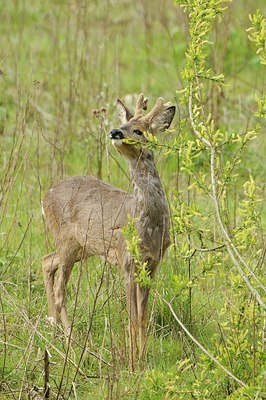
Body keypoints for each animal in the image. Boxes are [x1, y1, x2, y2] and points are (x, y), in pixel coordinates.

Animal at [42, 94, 175, 368]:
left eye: (139, 130)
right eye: (122, 124)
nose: (115, 132)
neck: (149, 223)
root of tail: (45, 196)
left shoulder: (152, 263)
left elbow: (143, 316)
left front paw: (143, 359)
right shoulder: (127, 260)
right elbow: (133, 316)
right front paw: (134, 363)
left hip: (81, 247)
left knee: (47, 262)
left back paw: (55, 329)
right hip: (66, 241)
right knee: (61, 290)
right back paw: (71, 342)